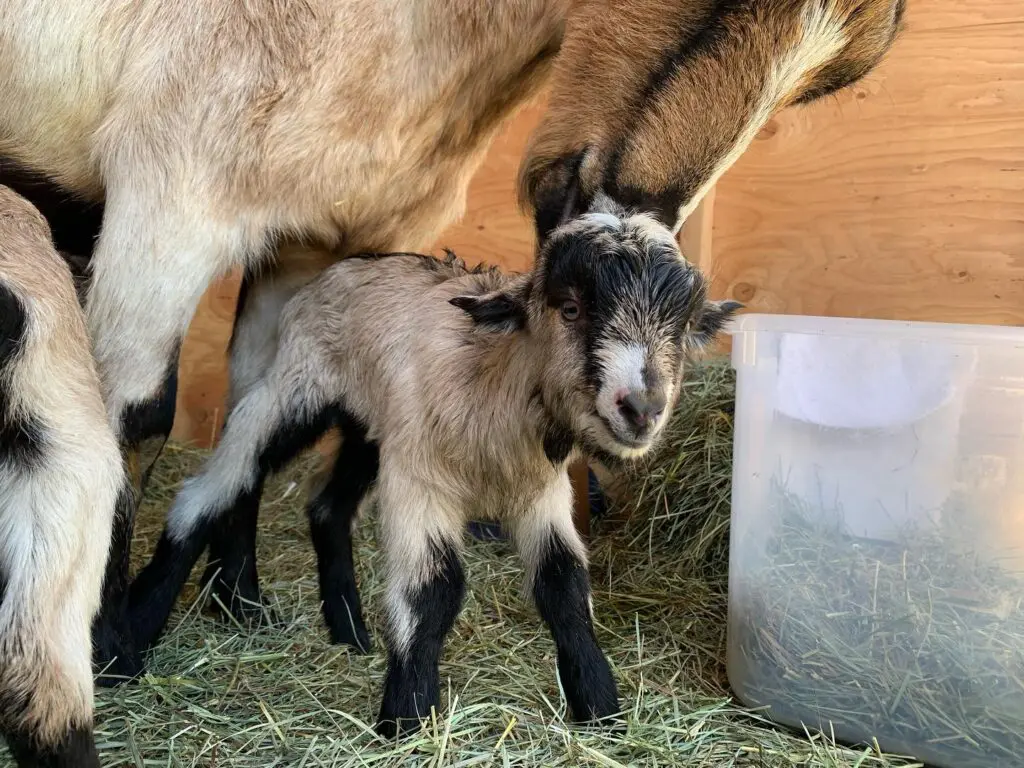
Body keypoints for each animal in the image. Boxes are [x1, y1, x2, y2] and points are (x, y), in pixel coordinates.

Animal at [0, 0, 905, 675]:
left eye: (823, 84)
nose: (629, 211)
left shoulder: (311, 243)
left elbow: (247, 415)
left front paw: (241, 602)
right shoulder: (172, 198)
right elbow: (136, 418)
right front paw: (110, 645)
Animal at [129, 204, 741, 736]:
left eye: (680, 327)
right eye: (570, 309)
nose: (642, 408)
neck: (496, 381)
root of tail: (344, 265)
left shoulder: (539, 492)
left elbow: (563, 584)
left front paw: (599, 708)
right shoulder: (419, 482)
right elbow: (432, 589)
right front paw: (405, 719)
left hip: (370, 426)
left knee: (327, 506)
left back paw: (348, 631)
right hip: (296, 388)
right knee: (217, 485)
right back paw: (129, 639)